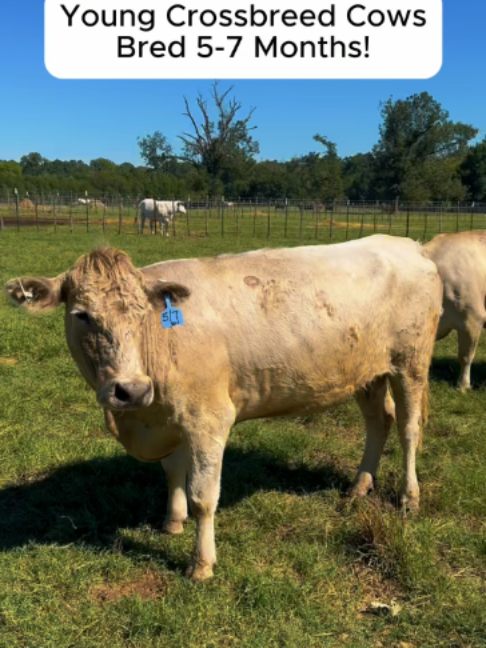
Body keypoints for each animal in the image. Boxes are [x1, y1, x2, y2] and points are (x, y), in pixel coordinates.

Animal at [5, 236, 442, 581]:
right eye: (81, 315)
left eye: (142, 313)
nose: (130, 390)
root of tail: (410, 246)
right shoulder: (172, 418)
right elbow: (172, 472)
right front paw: (172, 521)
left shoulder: (208, 418)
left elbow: (203, 495)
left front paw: (201, 563)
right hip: (366, 371)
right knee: (378, 422)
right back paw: (359, 485)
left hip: (411, 363)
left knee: (408, 428)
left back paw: (409, 497)